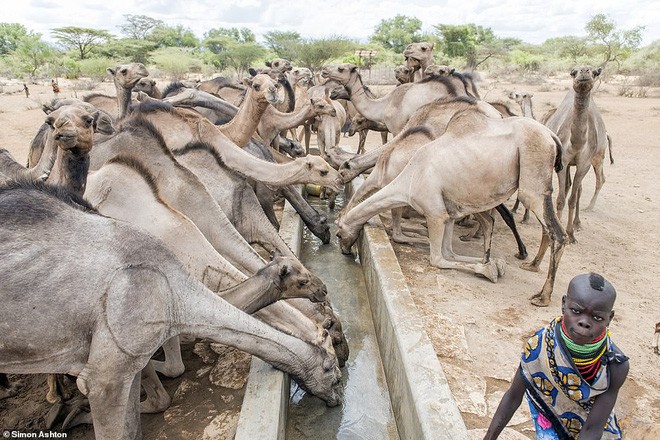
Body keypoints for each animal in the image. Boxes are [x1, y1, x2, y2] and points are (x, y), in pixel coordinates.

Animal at [336, 108, 568, 306]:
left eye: (338, 233)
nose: (344, 250)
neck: (408, 179)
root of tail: (551, 137)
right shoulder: (449, 214)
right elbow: (451, 253)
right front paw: (492, 263)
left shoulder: (435, 213)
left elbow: (438, 259)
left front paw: (489, 269)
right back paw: (529, 265)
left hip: (532, 182)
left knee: (556, 232)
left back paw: (542, 295)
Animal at [544, 65, 612, 242]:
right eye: (573, 72)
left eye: (594, 72)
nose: (584, 71)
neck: (576, 143)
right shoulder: (563, 162)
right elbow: (561, 198)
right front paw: (559, 229)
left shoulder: (584, 164)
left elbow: (573, 199)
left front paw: (570, 234)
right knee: (569, 186)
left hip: (598, 156)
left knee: (590, 184)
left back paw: (579, 221)